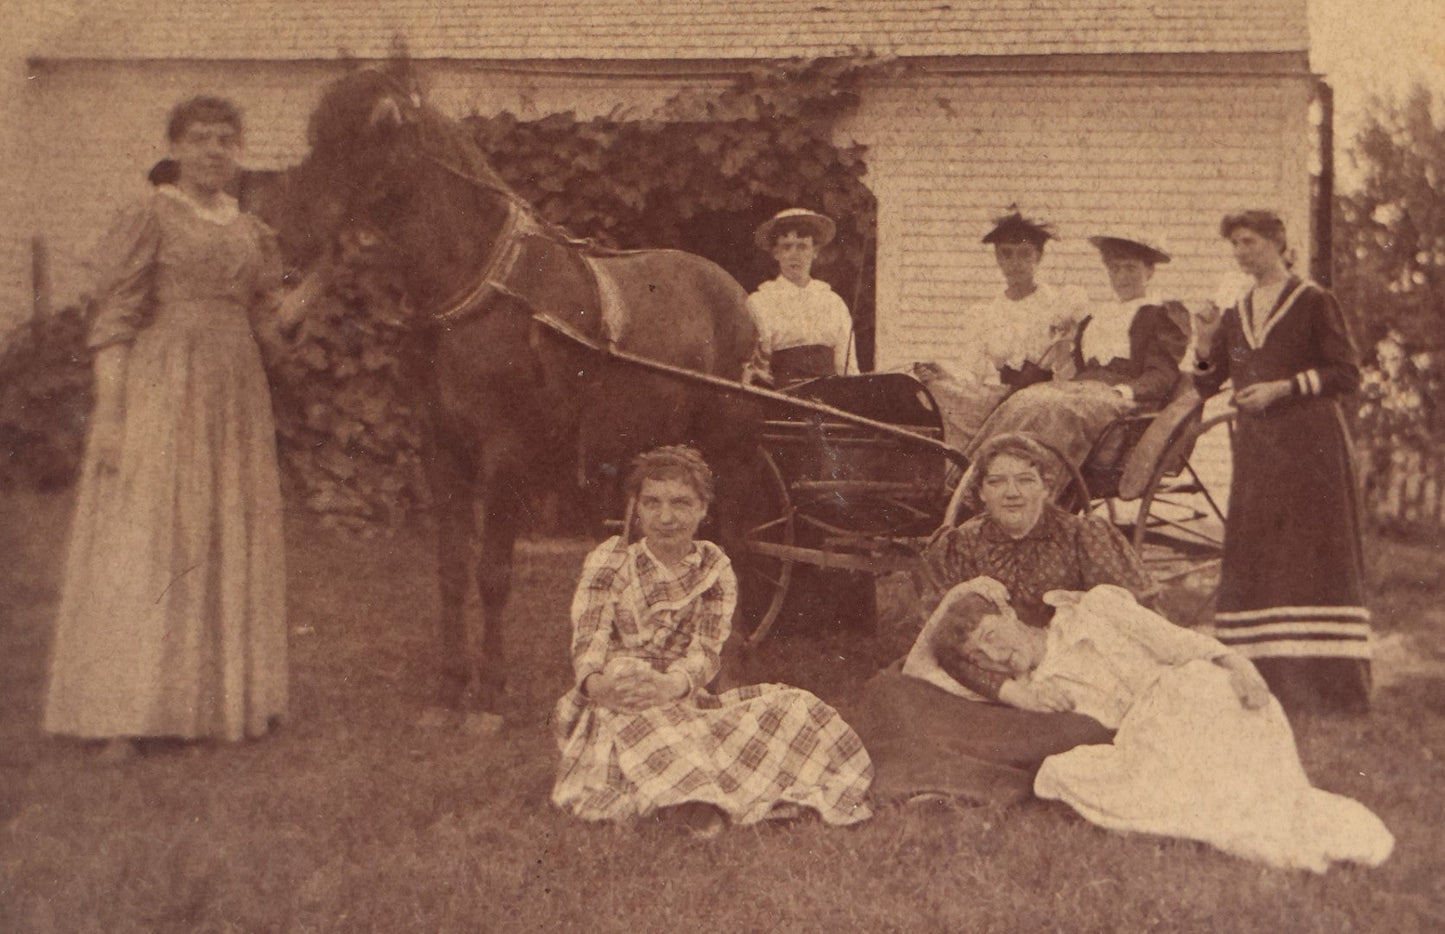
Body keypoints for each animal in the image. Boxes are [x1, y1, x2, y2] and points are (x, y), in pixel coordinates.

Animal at [281, 67, 757, 725]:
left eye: (381, 124)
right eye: (315, 127)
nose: (291, 229)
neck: (480, 291)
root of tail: (734, 291)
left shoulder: (504, 453)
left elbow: (493, 573)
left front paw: (488, 695)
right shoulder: (443, 450)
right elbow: (452, 571)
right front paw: (450, 688)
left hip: (728, 448)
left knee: (734, 544)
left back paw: (729, 666)